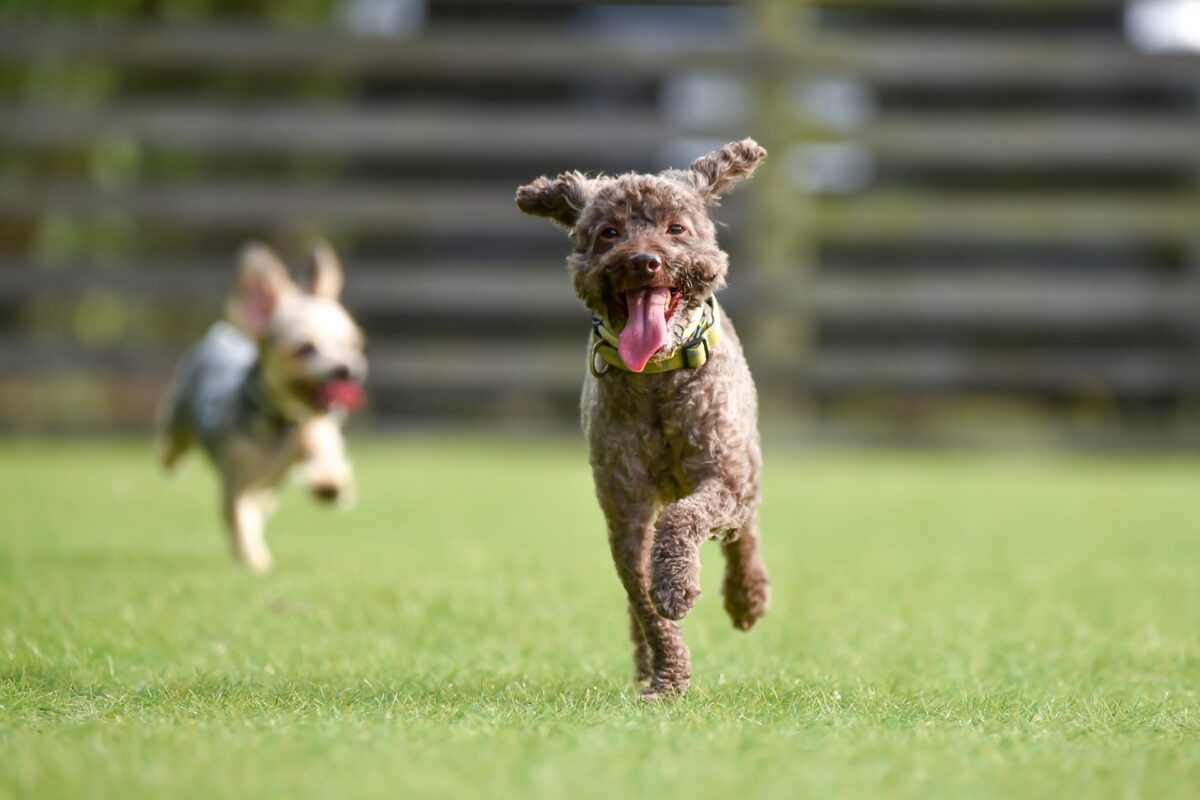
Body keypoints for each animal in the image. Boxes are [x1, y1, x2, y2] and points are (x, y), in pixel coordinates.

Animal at [157, 241, 367, 573]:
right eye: (305, 349)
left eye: (351, 345)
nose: (347, 370)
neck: (280, 421)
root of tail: (222, 334)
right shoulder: (237, 480)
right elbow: (238, 517)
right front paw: (255, 560)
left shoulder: (313, 429)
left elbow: (325, 451)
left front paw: (329, 484)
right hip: (179, 412)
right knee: (173, 443)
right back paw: (172, 459)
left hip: (269, 489)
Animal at [513, 139, 768, 700]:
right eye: (608, 232)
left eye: (675, 228)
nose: (643, 261)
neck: (657, 375)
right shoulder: (624, 507)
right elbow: (645, 600)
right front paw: (667, 678)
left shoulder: (722, 474)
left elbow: (683, 521)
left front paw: (679, 587)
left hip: (744, 464)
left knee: (744, 531)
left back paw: (747, 596)